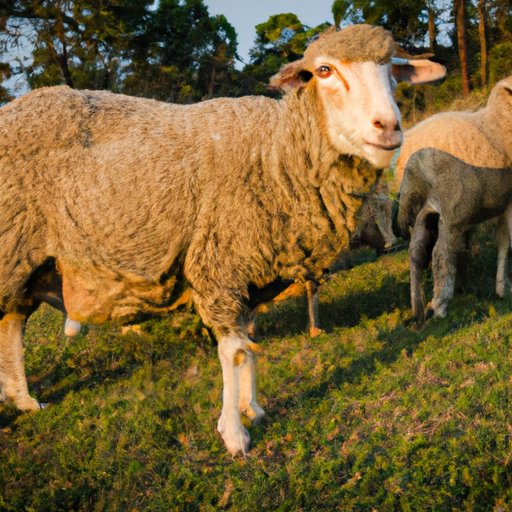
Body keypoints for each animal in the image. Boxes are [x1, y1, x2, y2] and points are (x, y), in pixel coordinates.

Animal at [0, 25, 444, 456]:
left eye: (394, 70)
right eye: (324, 71)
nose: (388, 127)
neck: (275, 157)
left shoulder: (248, 273)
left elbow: (247, 345)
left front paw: (254, 408)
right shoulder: (219, 266)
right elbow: (234, 352)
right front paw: (234, 435)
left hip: (26, 262)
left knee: (13, 323)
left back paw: (24, 400)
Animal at [396, 75, 512, 324]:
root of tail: (410, 158)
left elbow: (503, 239)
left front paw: (502, 286)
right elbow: (507, 239)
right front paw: (503, 286)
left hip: (422, 212)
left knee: (417, 252)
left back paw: (419, 308)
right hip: (451, 210)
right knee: (441, 252)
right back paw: (441, 303)